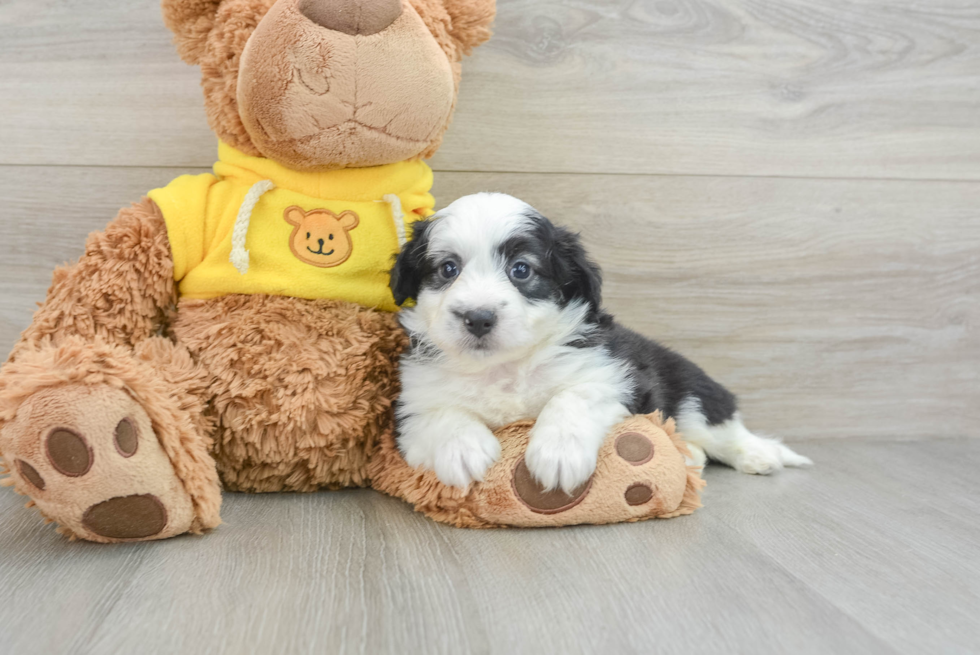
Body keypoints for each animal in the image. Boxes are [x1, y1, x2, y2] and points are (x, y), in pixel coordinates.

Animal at [390, 193, 812, 492]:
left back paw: (759, 453)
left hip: (692, 390)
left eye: (521, 270)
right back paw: (690, 455)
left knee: (721, 427)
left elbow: (572, 397)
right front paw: (463, 449)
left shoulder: (613, 375)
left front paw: (559, 453)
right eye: (448, 269)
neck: (503, 367)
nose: (478, 317)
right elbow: (441, 414)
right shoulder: (409, 411)